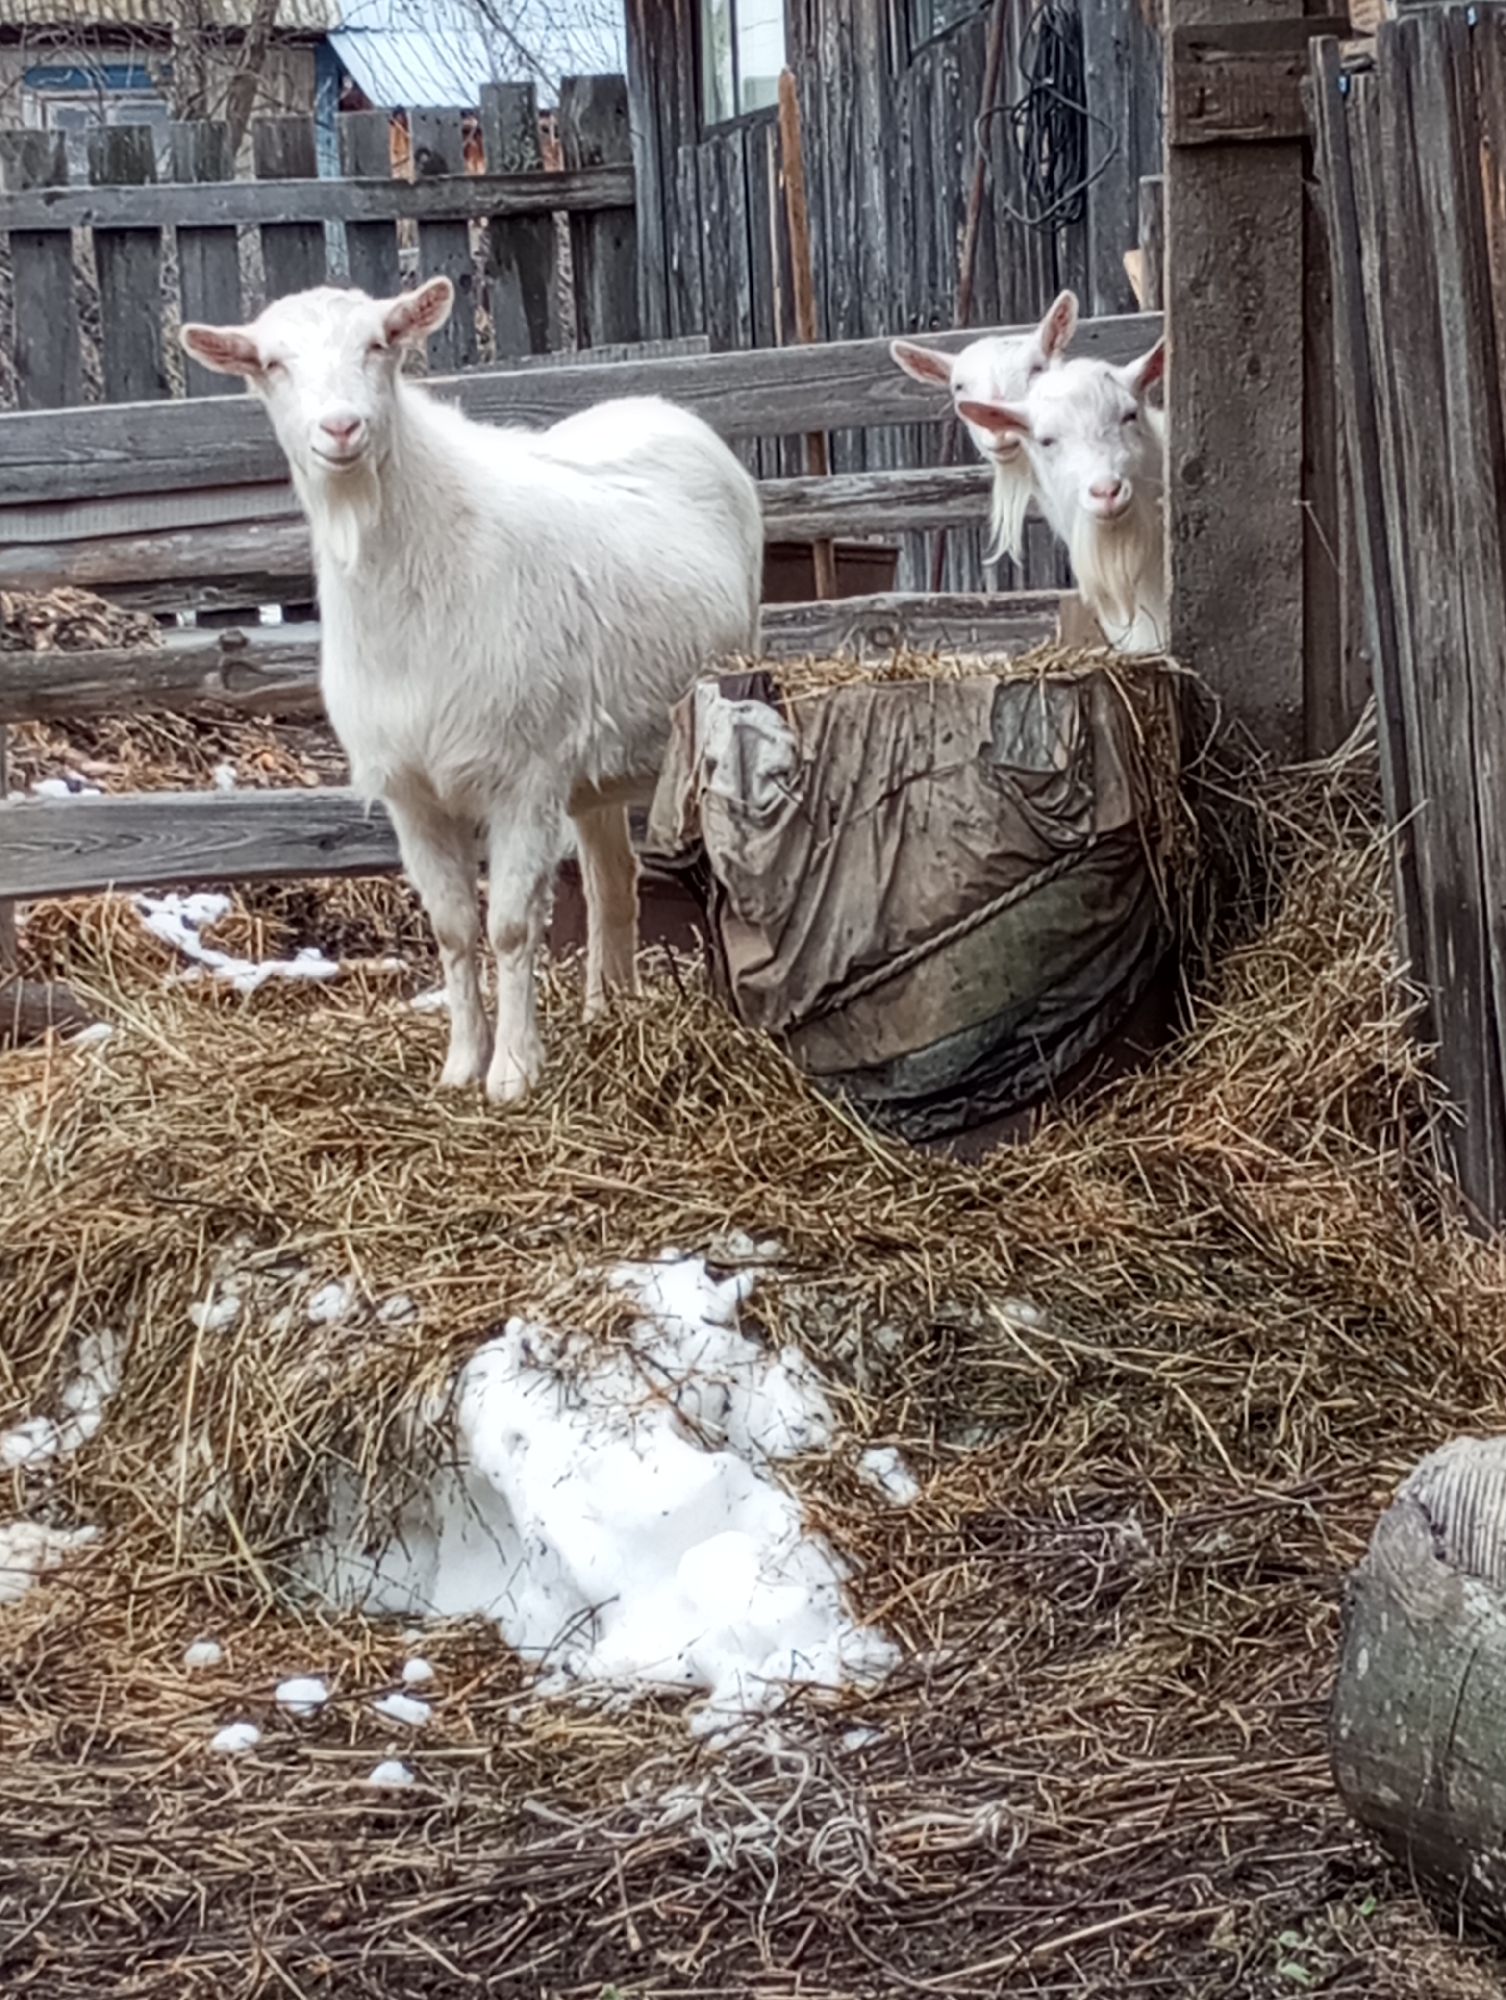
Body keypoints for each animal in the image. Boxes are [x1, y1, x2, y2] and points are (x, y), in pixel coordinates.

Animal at [181, 279, 763, 1104]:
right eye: (271, 363)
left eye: (380, 344)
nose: (341, 427)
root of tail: (654, 404)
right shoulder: (411, 794)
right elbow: (454, 928)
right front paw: (461, 1065)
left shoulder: (523, 778)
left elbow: (511, 927)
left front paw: (514, 1072)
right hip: (590, 768)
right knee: (612, 880)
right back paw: (609, 1010)